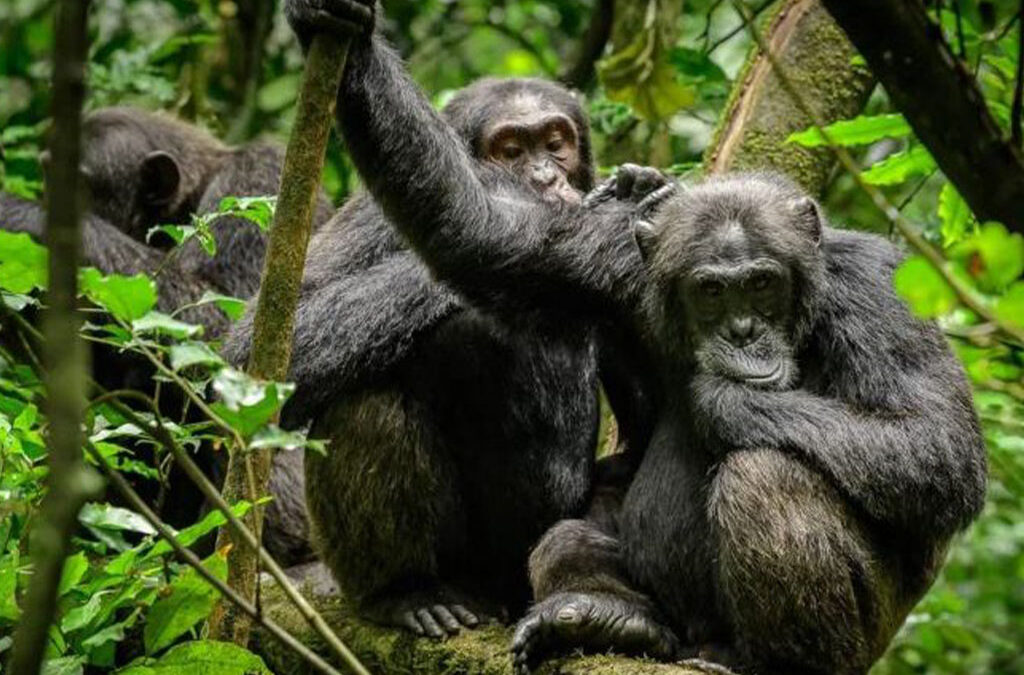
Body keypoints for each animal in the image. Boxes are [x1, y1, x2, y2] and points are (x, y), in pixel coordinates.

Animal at [287, 3, 988, 672]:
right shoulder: (615, 261)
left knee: (767, 476)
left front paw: (724, 400)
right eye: (712, 292)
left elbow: (934, 445)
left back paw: (773, 660)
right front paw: (345, 27)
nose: (743, 332)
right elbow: (478, 231)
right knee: (558, 532)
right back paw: (590, 616)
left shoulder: (880, 294)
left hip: (864, 639)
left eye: (762, 284)